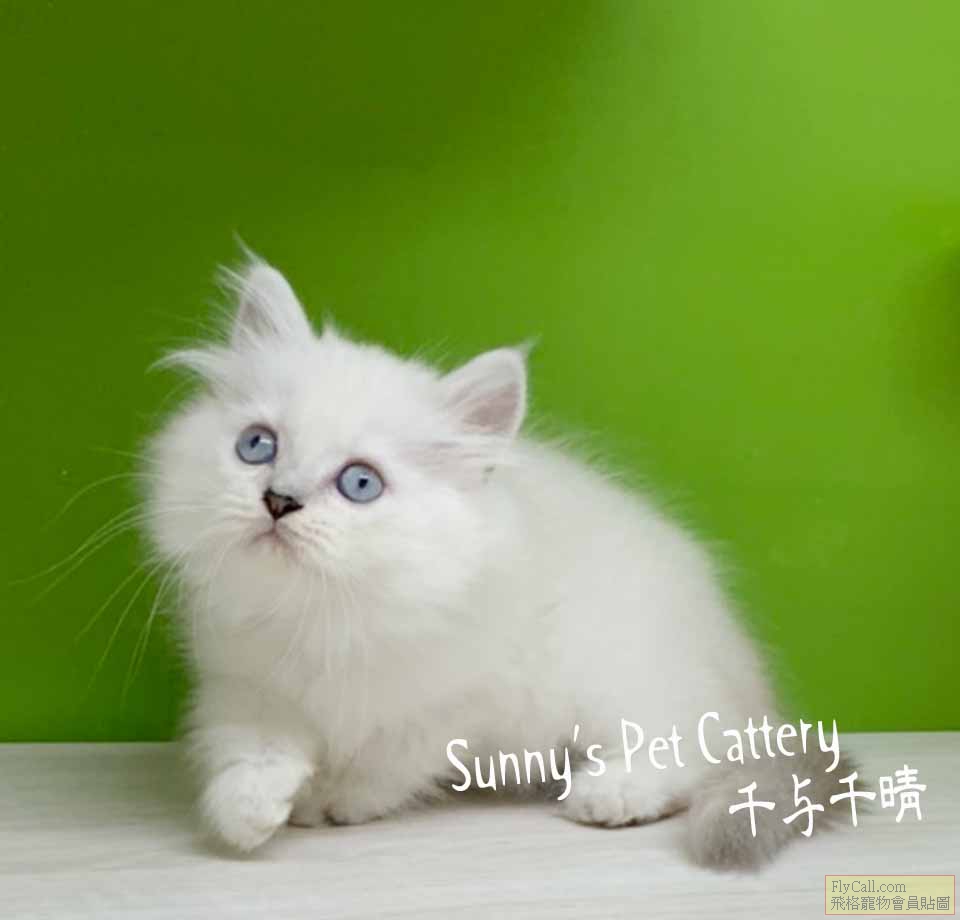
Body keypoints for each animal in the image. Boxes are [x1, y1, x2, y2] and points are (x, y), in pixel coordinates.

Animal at [144, 257, 849, 867]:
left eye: (360, 483)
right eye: (257, 445)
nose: (279, 500)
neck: (323, 615)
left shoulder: (460, 698)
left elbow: (385, 762)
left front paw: (331, 800)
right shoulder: (244, 684)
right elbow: (247, 748)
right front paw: (251, 808)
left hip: (622, 678)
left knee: (696, 745)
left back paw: (610, 793)